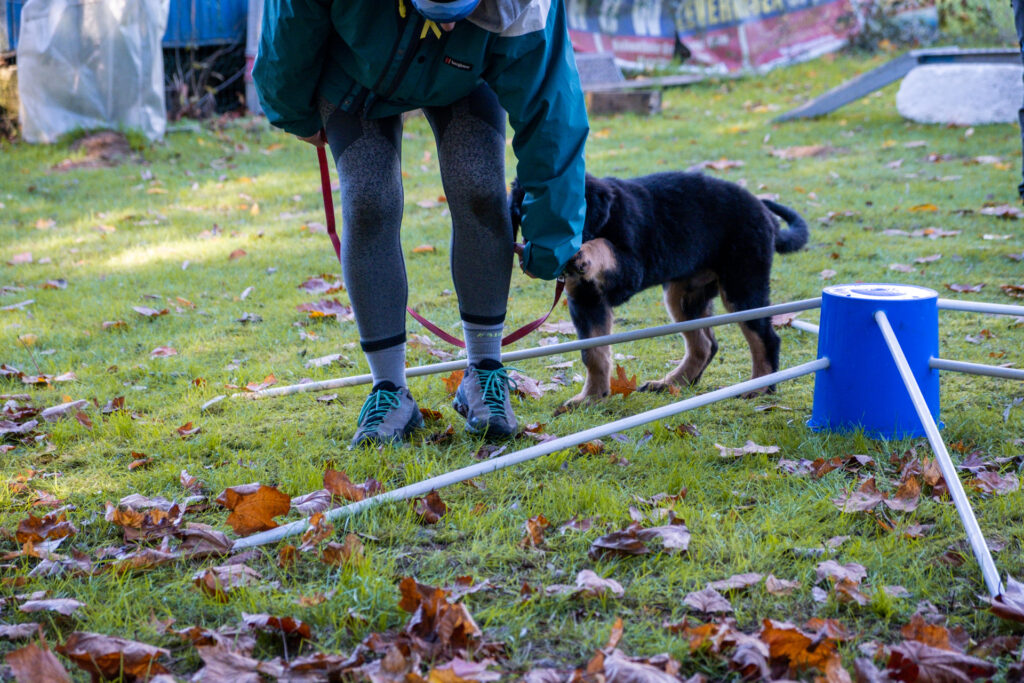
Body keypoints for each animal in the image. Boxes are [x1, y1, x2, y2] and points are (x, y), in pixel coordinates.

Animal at [509, 172, 806, 411]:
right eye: (524, 216)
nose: (530, 258)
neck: (603, 219)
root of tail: (765, 212)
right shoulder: (585, 300)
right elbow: (593, 353)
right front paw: (592, 398)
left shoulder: (630, 268)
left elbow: (603, 245)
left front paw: (582, 253)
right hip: (684, 294)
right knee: (705, 344)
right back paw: (671, 383)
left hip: (742, 284)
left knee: (765, 338)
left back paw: (760, 388)